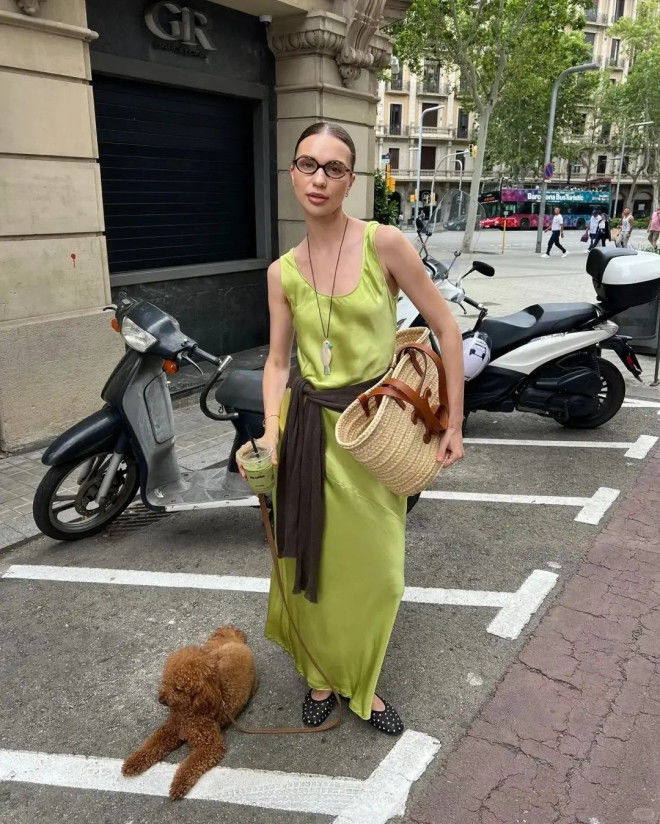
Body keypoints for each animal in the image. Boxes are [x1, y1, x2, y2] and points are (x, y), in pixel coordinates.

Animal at [122, 626, 258, 799]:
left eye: (179, 688)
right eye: (166, 680)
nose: (161, 700)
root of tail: (236, 641)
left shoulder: (209, 745)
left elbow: (190, 765)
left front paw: (179, 784)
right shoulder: (171, 729)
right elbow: (152, 744)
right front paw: (133, 762)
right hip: (213, 652)